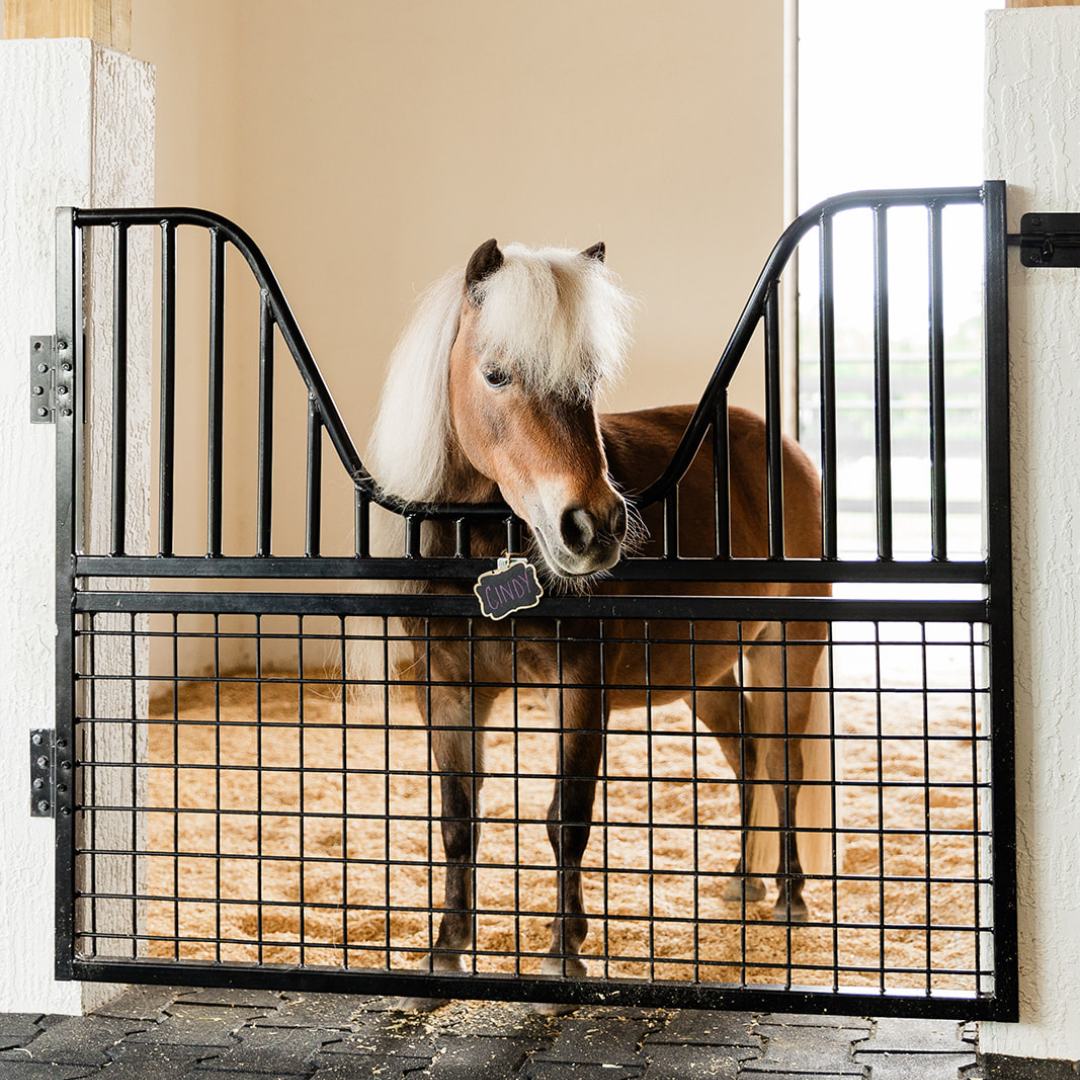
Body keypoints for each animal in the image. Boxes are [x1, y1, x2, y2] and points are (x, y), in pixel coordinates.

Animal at [365, 240, 833, 1006]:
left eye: (587, 381)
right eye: (496, 373)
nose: (594, 527)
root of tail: (781, 447)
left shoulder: (579, 690)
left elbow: (567, 817)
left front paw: (566, 953)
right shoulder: (450, 693)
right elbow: (459, 821)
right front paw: (445, 954)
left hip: (786, 651)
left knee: (783, 765)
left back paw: (791, 894)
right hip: (703, 674)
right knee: (746, 756)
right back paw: (744, 880)